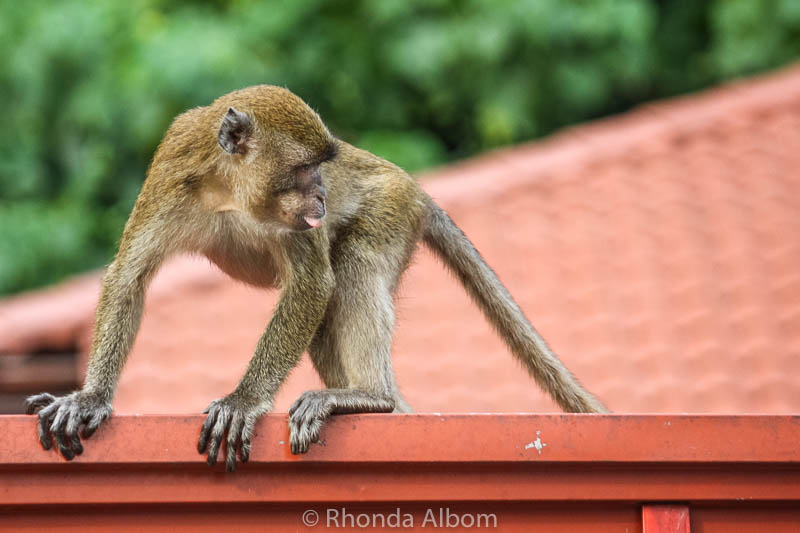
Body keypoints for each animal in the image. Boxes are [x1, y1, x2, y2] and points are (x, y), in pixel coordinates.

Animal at [25, 83, 608, 470]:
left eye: (323, 168)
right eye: (305, 169)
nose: (324, 196)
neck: (230, 192)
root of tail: (415, 187)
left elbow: (313, 284)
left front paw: (243, 401)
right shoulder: (173, 169)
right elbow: (131, 275)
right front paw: (90, 399)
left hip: (391, 208)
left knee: (352, 268)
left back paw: (369, 396)